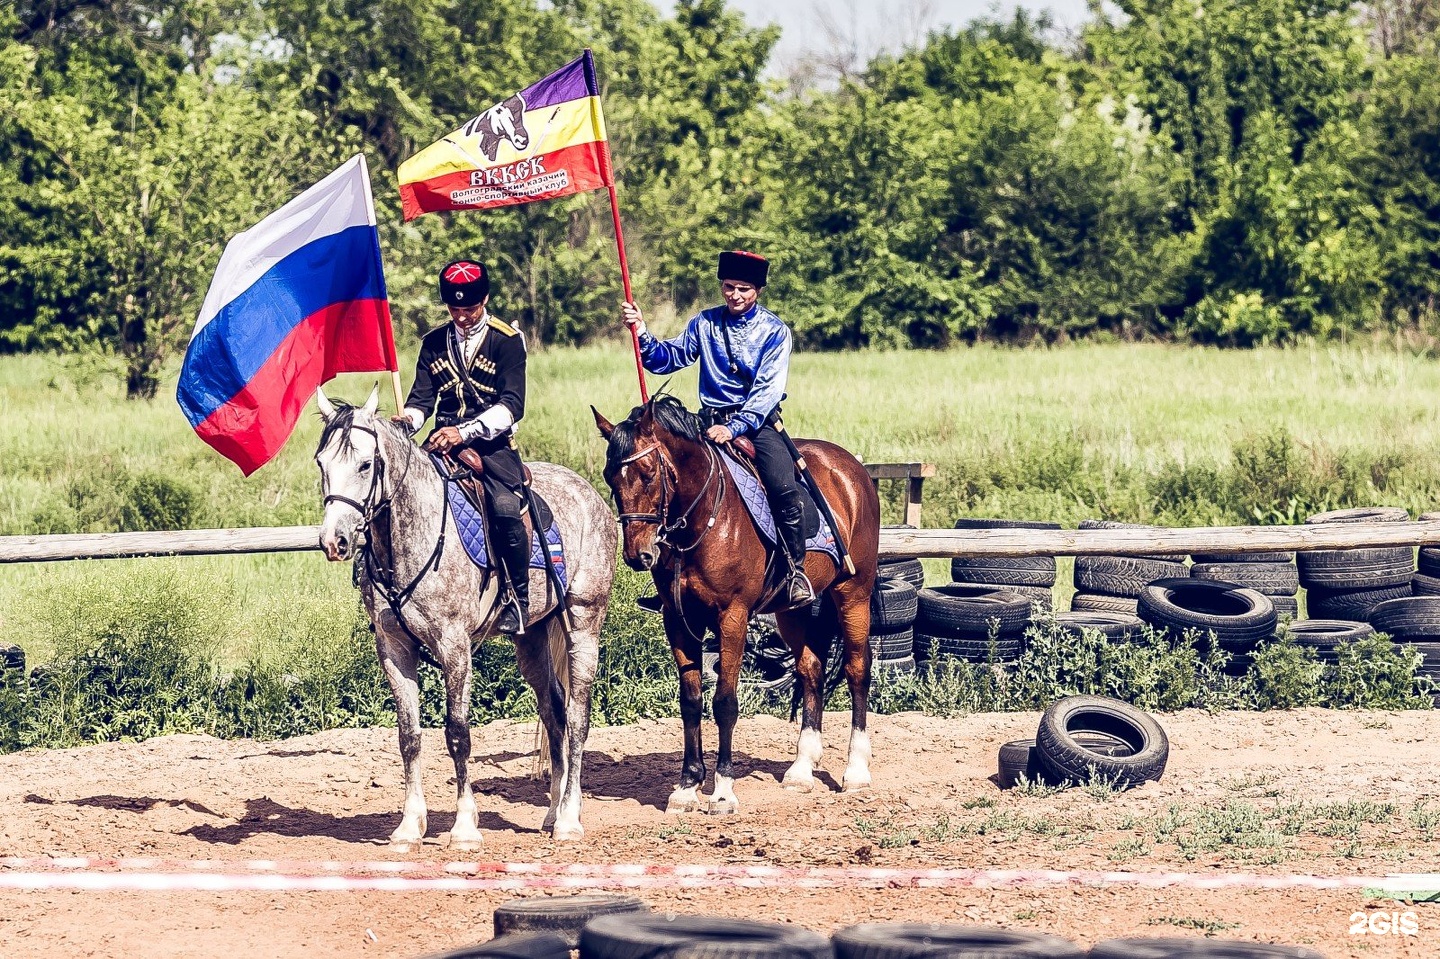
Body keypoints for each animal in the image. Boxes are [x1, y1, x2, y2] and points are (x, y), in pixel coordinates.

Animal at [313, 385, 613, 840]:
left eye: (366, 464)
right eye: (322, 464)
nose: (335, 541)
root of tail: (588, 491)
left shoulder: (454, 646)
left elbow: (458, 733)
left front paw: (465, 826)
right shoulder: (394, 648)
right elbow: (409, 735)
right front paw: (409, 826)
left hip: (583, 624)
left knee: (578, 717)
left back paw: (568, 818)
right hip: (532, 637)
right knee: (554, 711)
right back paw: (551, 812)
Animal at [590, 391, 881, 812]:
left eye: (647, 472)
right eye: (610, 476)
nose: (637, 554)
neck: (703, 521)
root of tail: (851, 468)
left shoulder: (733, 617)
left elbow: (724, 702)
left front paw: (723, 789)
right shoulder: (679, 620)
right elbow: (691, 701)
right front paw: (687, 786)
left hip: (853, 593)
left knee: (857, 670)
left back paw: (856, 770)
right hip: (791, 610)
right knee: (811, 670)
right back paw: (801, 769)